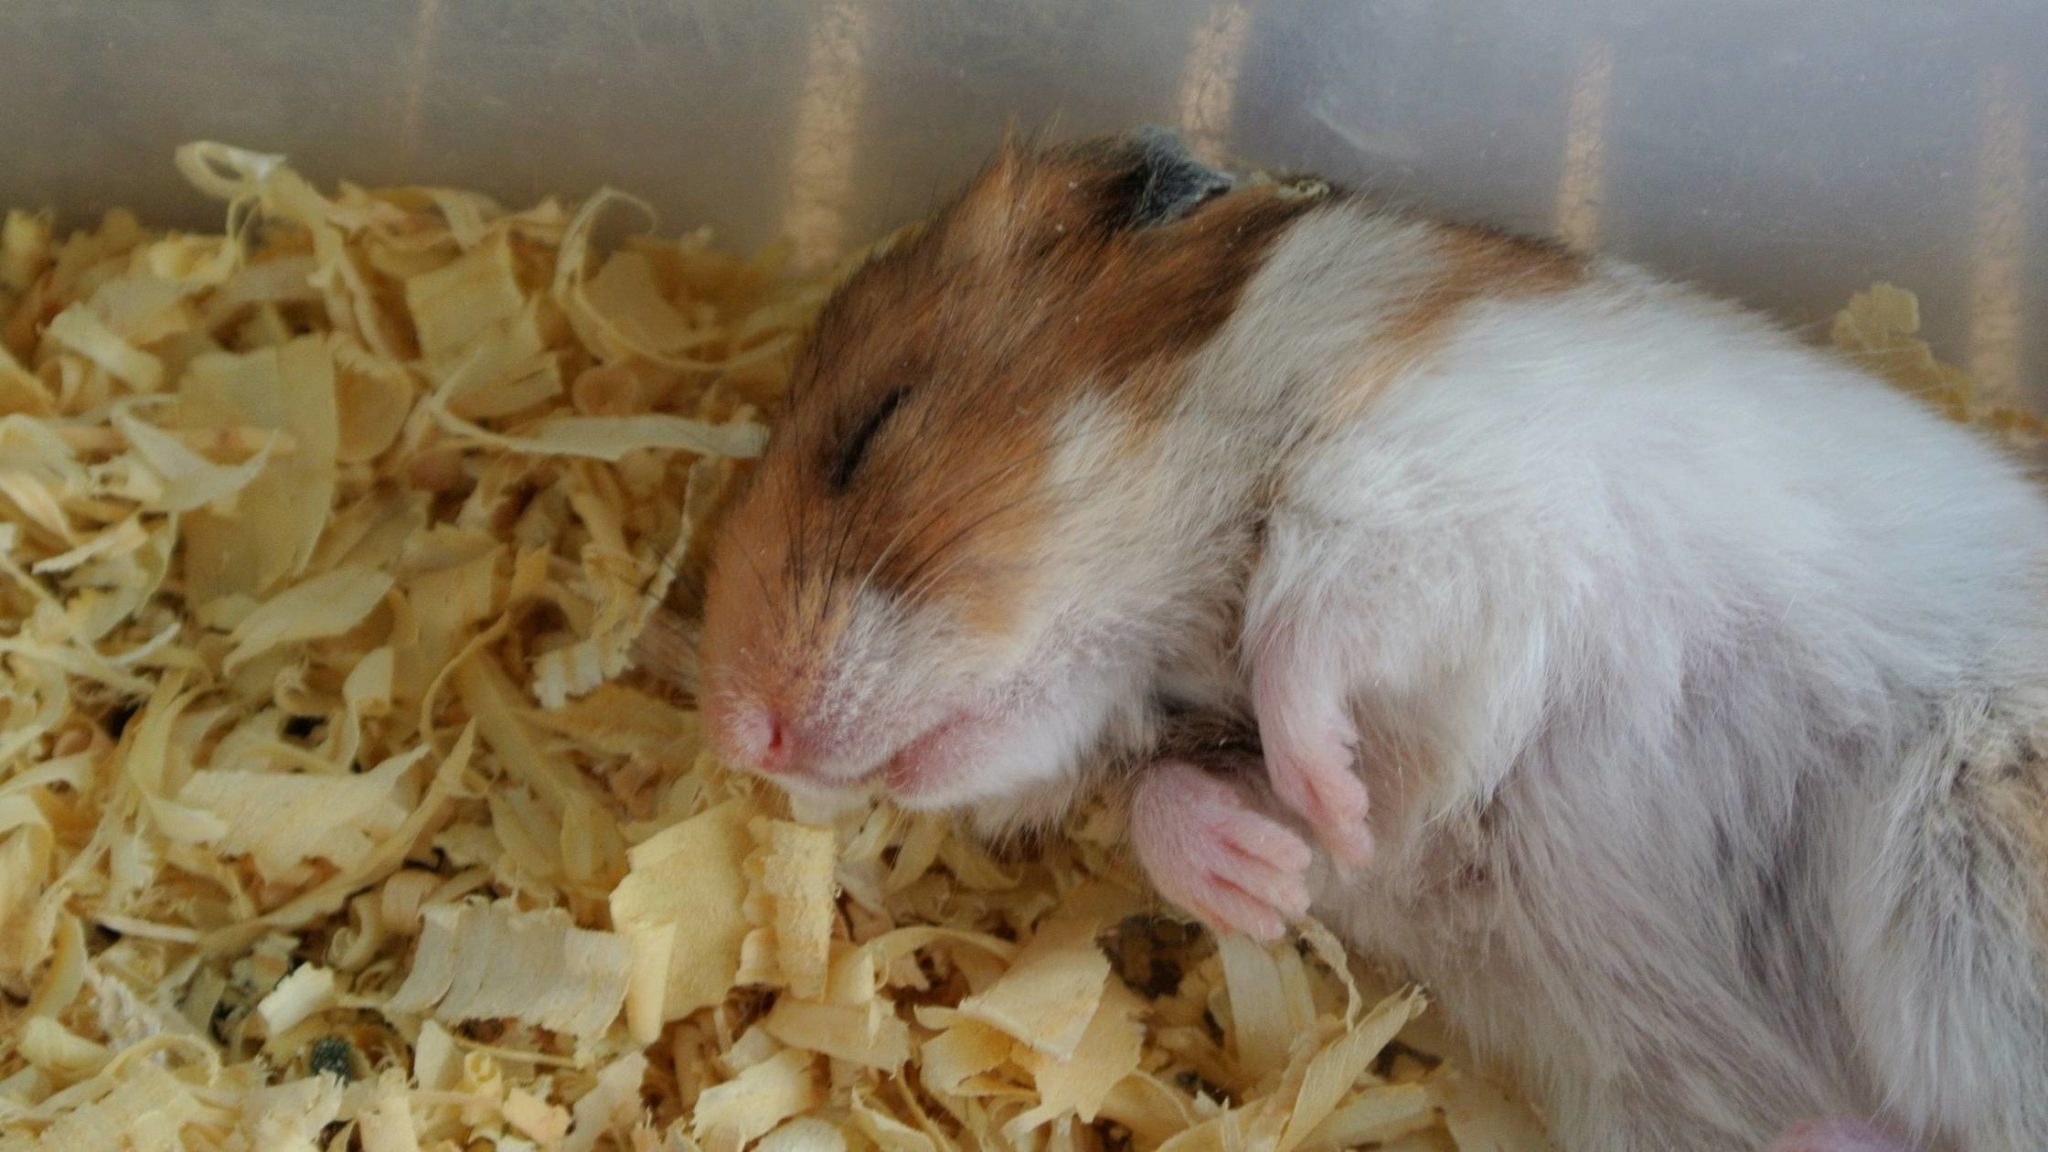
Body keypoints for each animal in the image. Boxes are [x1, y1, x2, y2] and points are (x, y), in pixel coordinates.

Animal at [666, 129, 2048, 1152]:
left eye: (872, 431)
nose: (740, 735)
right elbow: (1197, 797)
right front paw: (1266, 878)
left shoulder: (1439, 477)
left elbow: (1306, 622)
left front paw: (1317, 780)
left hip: (1969, 856)